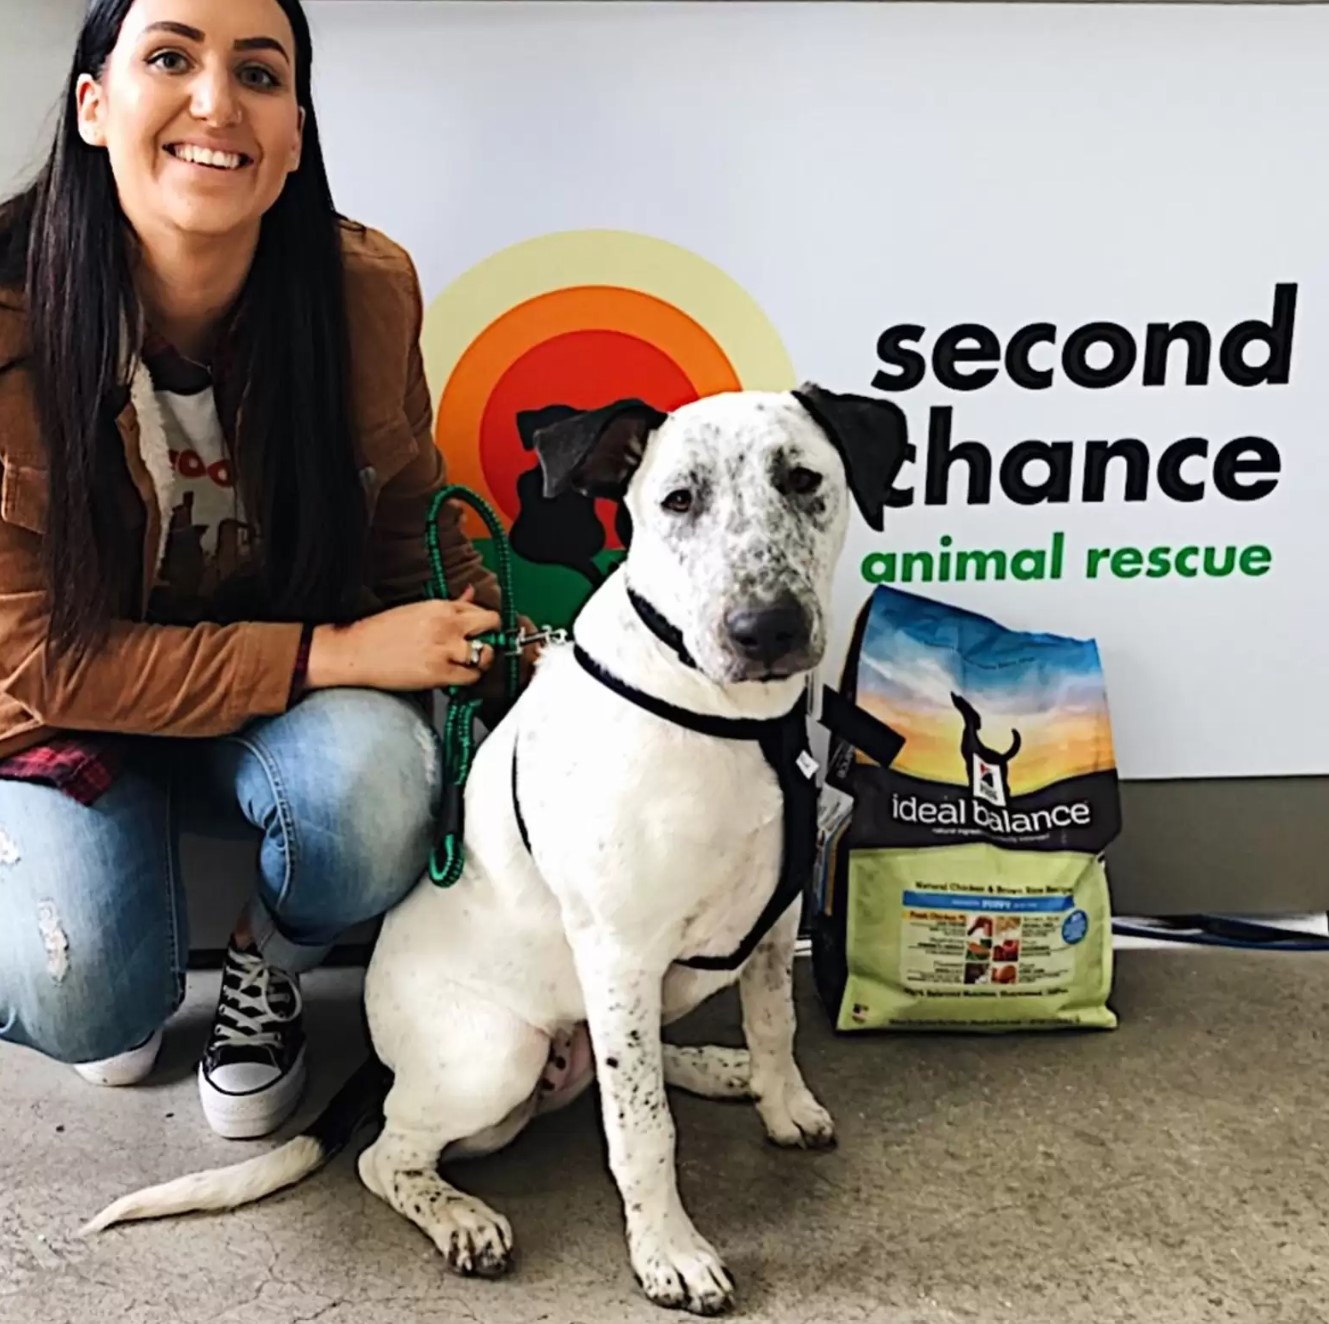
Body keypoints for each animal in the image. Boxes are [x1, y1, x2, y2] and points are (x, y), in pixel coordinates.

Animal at [83, 382, 909, 1313]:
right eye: (678, 501)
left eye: (802, 479)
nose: (764, 628)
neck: (730, 719)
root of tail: (386, 1065)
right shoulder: (618, 951)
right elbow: (641, 1130)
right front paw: (667, 1252)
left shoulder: (773, 923)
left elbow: (774, 1026)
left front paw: (779, 1103)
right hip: (499, 1061)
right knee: (389, 1154)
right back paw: (459, 1218)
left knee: (627, 1062)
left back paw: (714, 1069)